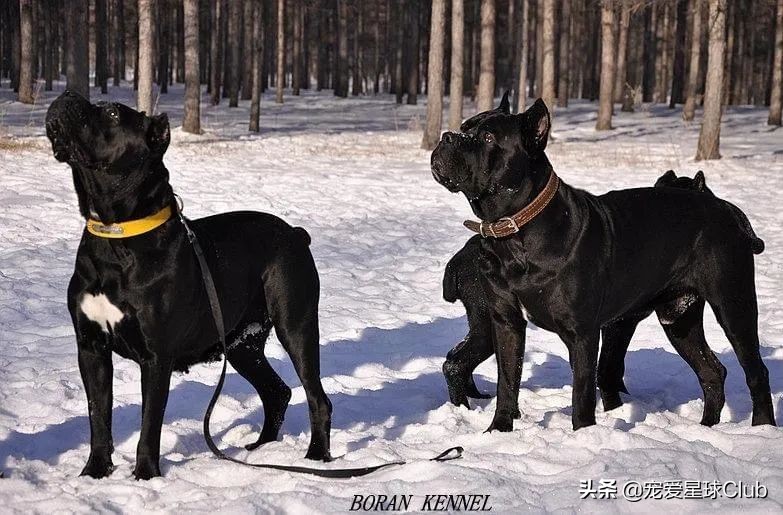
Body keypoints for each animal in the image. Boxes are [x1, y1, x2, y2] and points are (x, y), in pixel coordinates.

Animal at [45, 90, 334, 482]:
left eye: (113, 114)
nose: (67, 94)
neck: (115, 234)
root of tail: (295, 233)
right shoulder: (91, 349)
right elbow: (98, 416)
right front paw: (94, 472)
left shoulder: (156, 358)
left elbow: (149, 425)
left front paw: (145, 475)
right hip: (242, 343)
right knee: (276, 392)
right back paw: (261, 449)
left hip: (296, 326)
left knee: (317, 396)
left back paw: (316, 456)